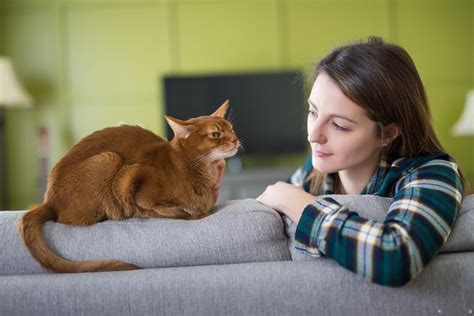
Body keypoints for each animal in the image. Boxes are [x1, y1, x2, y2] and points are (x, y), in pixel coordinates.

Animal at [16, 100, 239, 274]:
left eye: (231, 129)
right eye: (216, 134)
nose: (236, 140)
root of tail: (48, 201)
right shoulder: (133, 181)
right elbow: (172, 211)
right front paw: (193, 214)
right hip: (108, 159)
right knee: (70, 219)